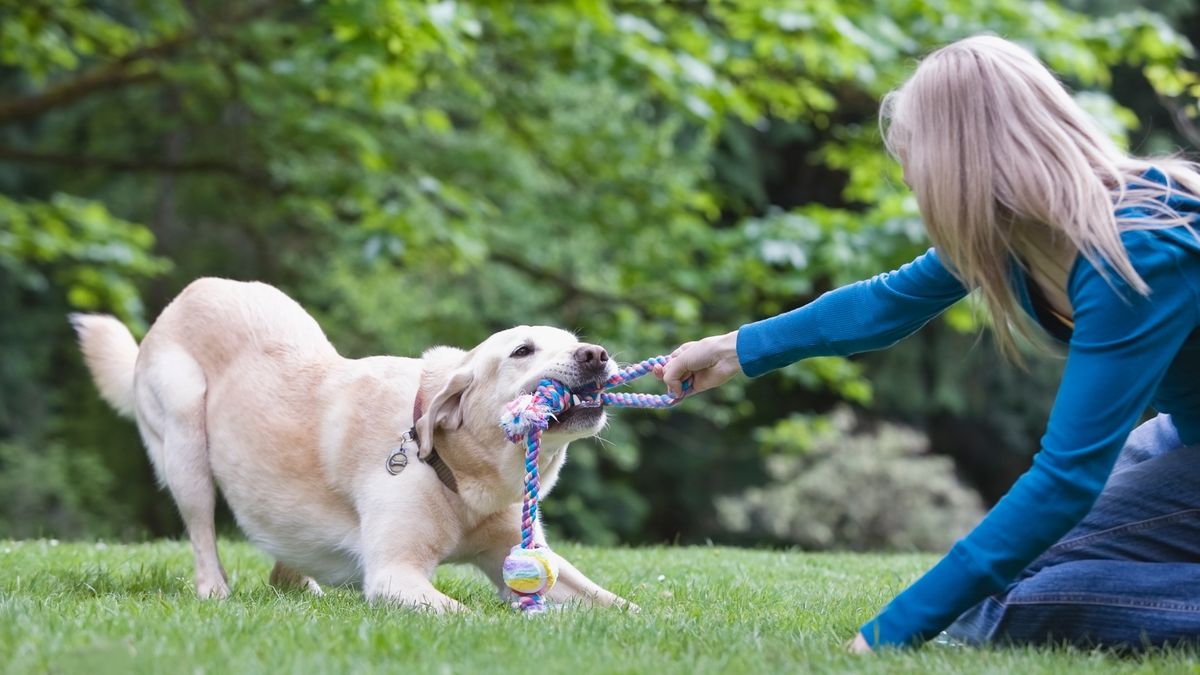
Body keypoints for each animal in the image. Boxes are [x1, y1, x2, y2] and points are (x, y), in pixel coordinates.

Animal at [75, 276, 633, 607]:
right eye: (522, 351)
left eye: (573, 341)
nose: (596, 354)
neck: (456, 471)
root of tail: (189, 293)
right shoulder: (392, 573)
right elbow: (466, 614)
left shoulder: (519, 554)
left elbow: (612, 602)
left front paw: (645, 622)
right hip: (186, 441)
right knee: (202, 534)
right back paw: (215, 590)